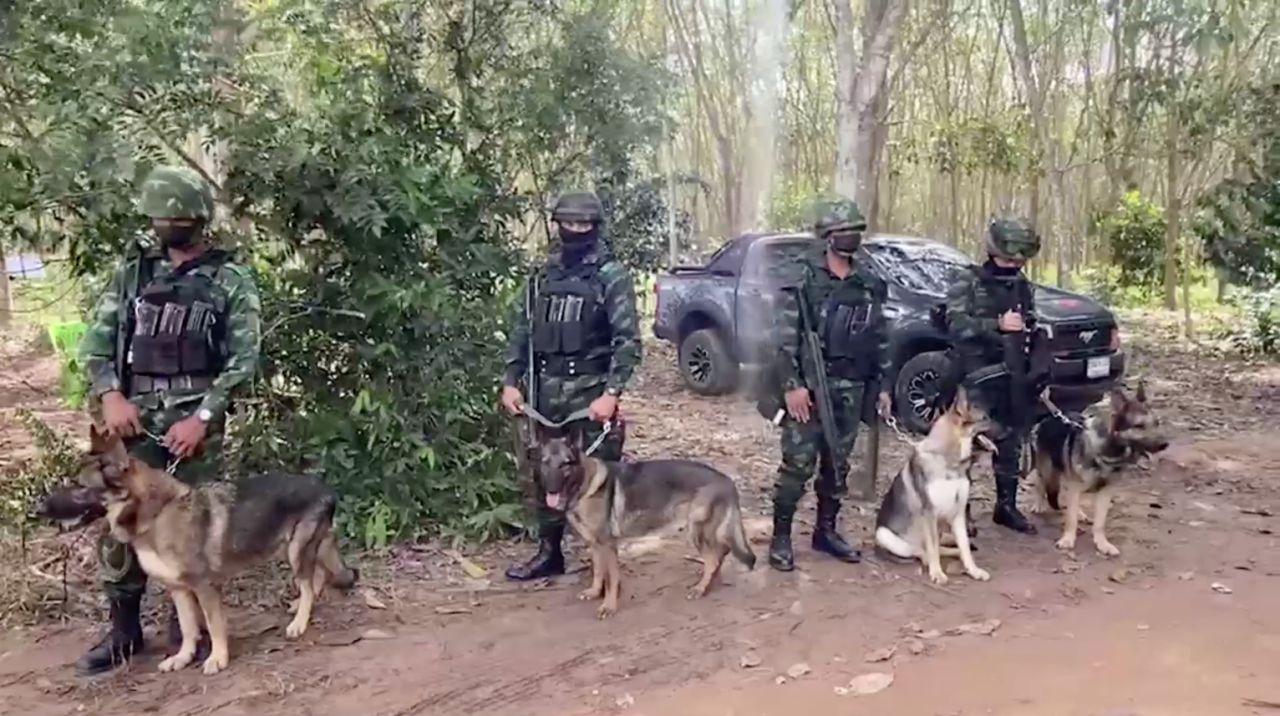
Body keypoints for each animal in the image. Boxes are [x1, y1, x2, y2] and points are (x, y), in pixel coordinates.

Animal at [44, 427, 355, 676]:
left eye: (80, 487)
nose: (39, 507)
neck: (156, 515)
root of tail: (327, 487)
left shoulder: (205, 587)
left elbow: (214, 626)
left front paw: (218, 658)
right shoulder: (179, 590)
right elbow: (187, 628)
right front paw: (183, 658)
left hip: (294, 551)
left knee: (308, 582)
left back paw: (299, 622)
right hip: (287, 547)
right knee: (316, 576)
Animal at [532, 427, 752, 619]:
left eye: (565, 464)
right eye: (545, 462)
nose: (550, 489)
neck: (584, 484)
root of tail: (727, 480)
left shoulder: (608, 545)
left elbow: (611, 580)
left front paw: (608, 606)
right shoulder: (595, 545)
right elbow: (598, 572)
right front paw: (594, 592)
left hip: (696, 530)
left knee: (714, 557)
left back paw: (700, 588)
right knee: (720, 553)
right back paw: (710, 582)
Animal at [875, 389, 1003, 586]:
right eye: (985, 418)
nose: (1012, 431)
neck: (950, 463)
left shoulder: (958, 514)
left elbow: (964, 547)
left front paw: (973, 570)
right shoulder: (930, 514)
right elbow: (933, 548)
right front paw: (937, 573)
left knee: (950, 547)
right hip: (884, 534)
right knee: (922, 551)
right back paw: (929, 560)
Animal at [1029, 384, 1172, 558]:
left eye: (1157, 423)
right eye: (1139, 426)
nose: (1164, 444)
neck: (1108, 451)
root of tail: (1051, 416)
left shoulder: (1105, 492)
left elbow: (1099, 522)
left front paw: (1102, 543)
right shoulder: (1074, 486)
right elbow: (1070, 519)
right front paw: (1068, 540)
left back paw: (1080, 513)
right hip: (1046, 470)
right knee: (1040, 483)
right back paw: (1039, 504)